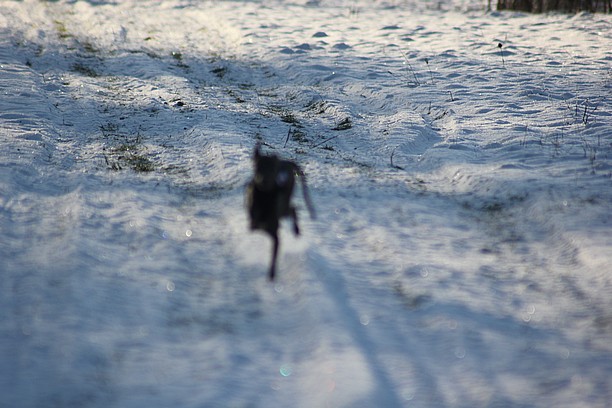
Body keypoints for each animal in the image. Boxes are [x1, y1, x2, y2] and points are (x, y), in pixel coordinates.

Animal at [246, 143, 316, 280]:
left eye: (272, 170)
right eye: (257, 168)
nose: (263, 180)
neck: (264, 199)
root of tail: (286, 162)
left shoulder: (275, 233)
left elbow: (274, 256)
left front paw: (271, 275)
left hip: (284, 205)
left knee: (293, 209)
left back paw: (296, 230)